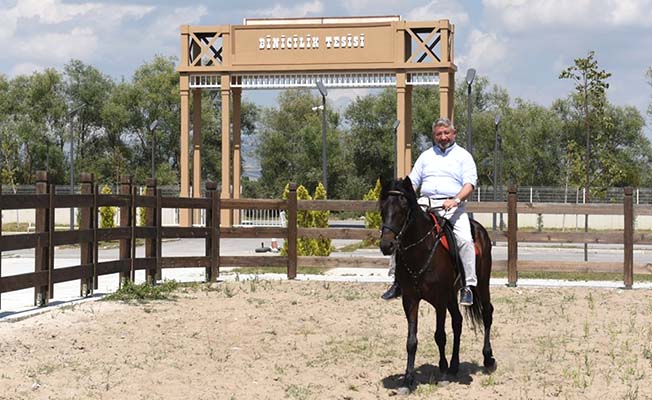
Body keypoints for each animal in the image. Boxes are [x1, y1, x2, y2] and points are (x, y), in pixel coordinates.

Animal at [376, 178, 494, 394]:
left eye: (403, 209)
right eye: (383, 208)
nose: (386, 246)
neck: (421, 250)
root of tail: (480, 229)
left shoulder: (439, 300)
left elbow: (440, 335)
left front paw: (443, 373)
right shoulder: (410, 299)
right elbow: (411, 341)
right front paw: (408, 380)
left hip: (481, 284)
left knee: (487, 313)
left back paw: (488, 359)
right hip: (452, 295)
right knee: (458, 321)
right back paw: (454, 365)